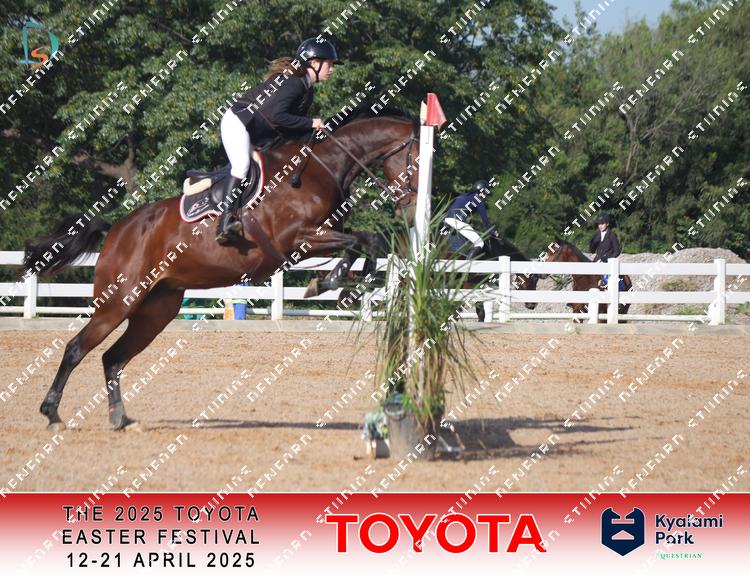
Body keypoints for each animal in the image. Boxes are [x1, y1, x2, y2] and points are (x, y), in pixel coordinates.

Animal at [24, 105, 419, 431]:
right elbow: (362, 242)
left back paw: (120, 418)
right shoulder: (297, 239)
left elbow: (367, 242)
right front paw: (329, 284)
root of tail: (117, 229)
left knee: (112, 358)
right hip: (119, 300)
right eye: (414, 157)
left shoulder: (316, 238)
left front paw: (335, 284)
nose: (412, 209)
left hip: (156, 308)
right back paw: (52, 414)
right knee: (77, 348)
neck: (323, 166)